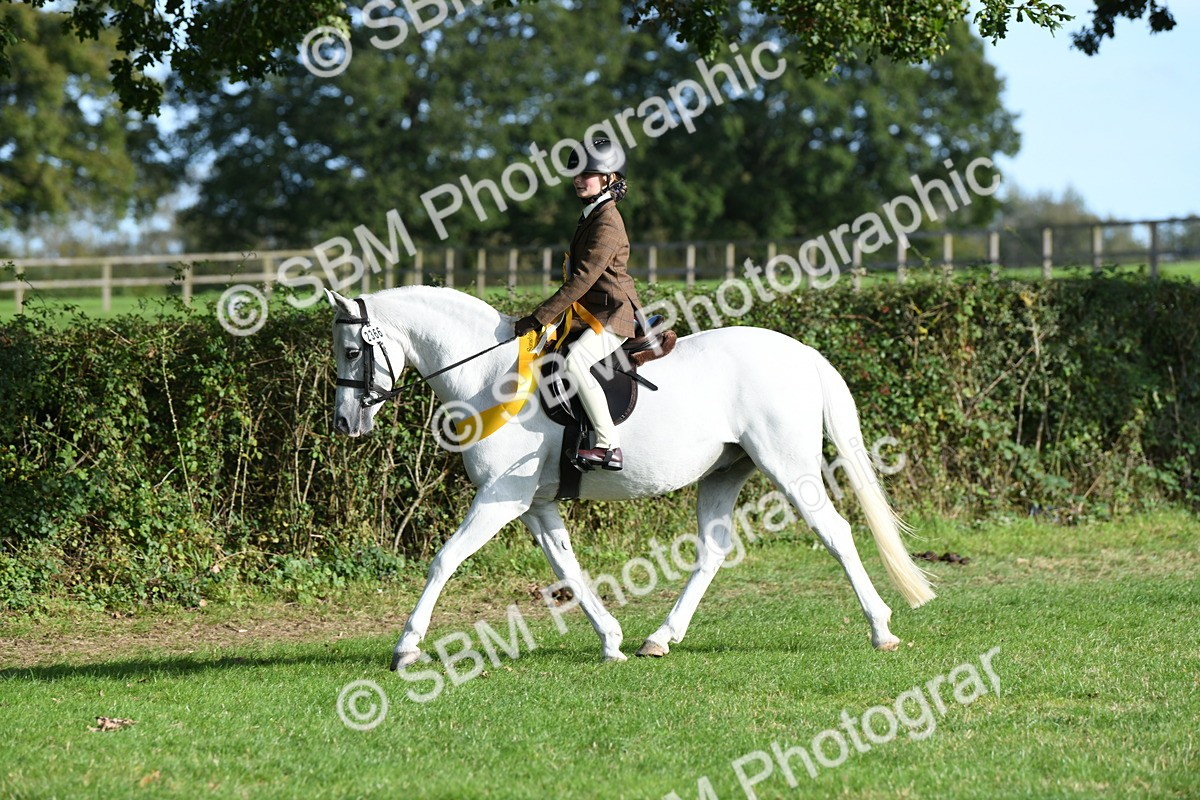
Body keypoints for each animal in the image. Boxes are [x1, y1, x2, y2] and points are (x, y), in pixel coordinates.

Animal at [325, 286, 934, 669]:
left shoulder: (501, 498)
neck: (490, 375)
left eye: (353, 350)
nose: (345, 422)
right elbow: (567, 568)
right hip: (725, 471)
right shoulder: (535, 504)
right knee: (713, 551)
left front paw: (406, 647)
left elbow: (445, 559)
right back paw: (659, 639)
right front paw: (611, 641)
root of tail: (802, 352)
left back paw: (881, 629)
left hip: (787, 465)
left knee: (836, 533)